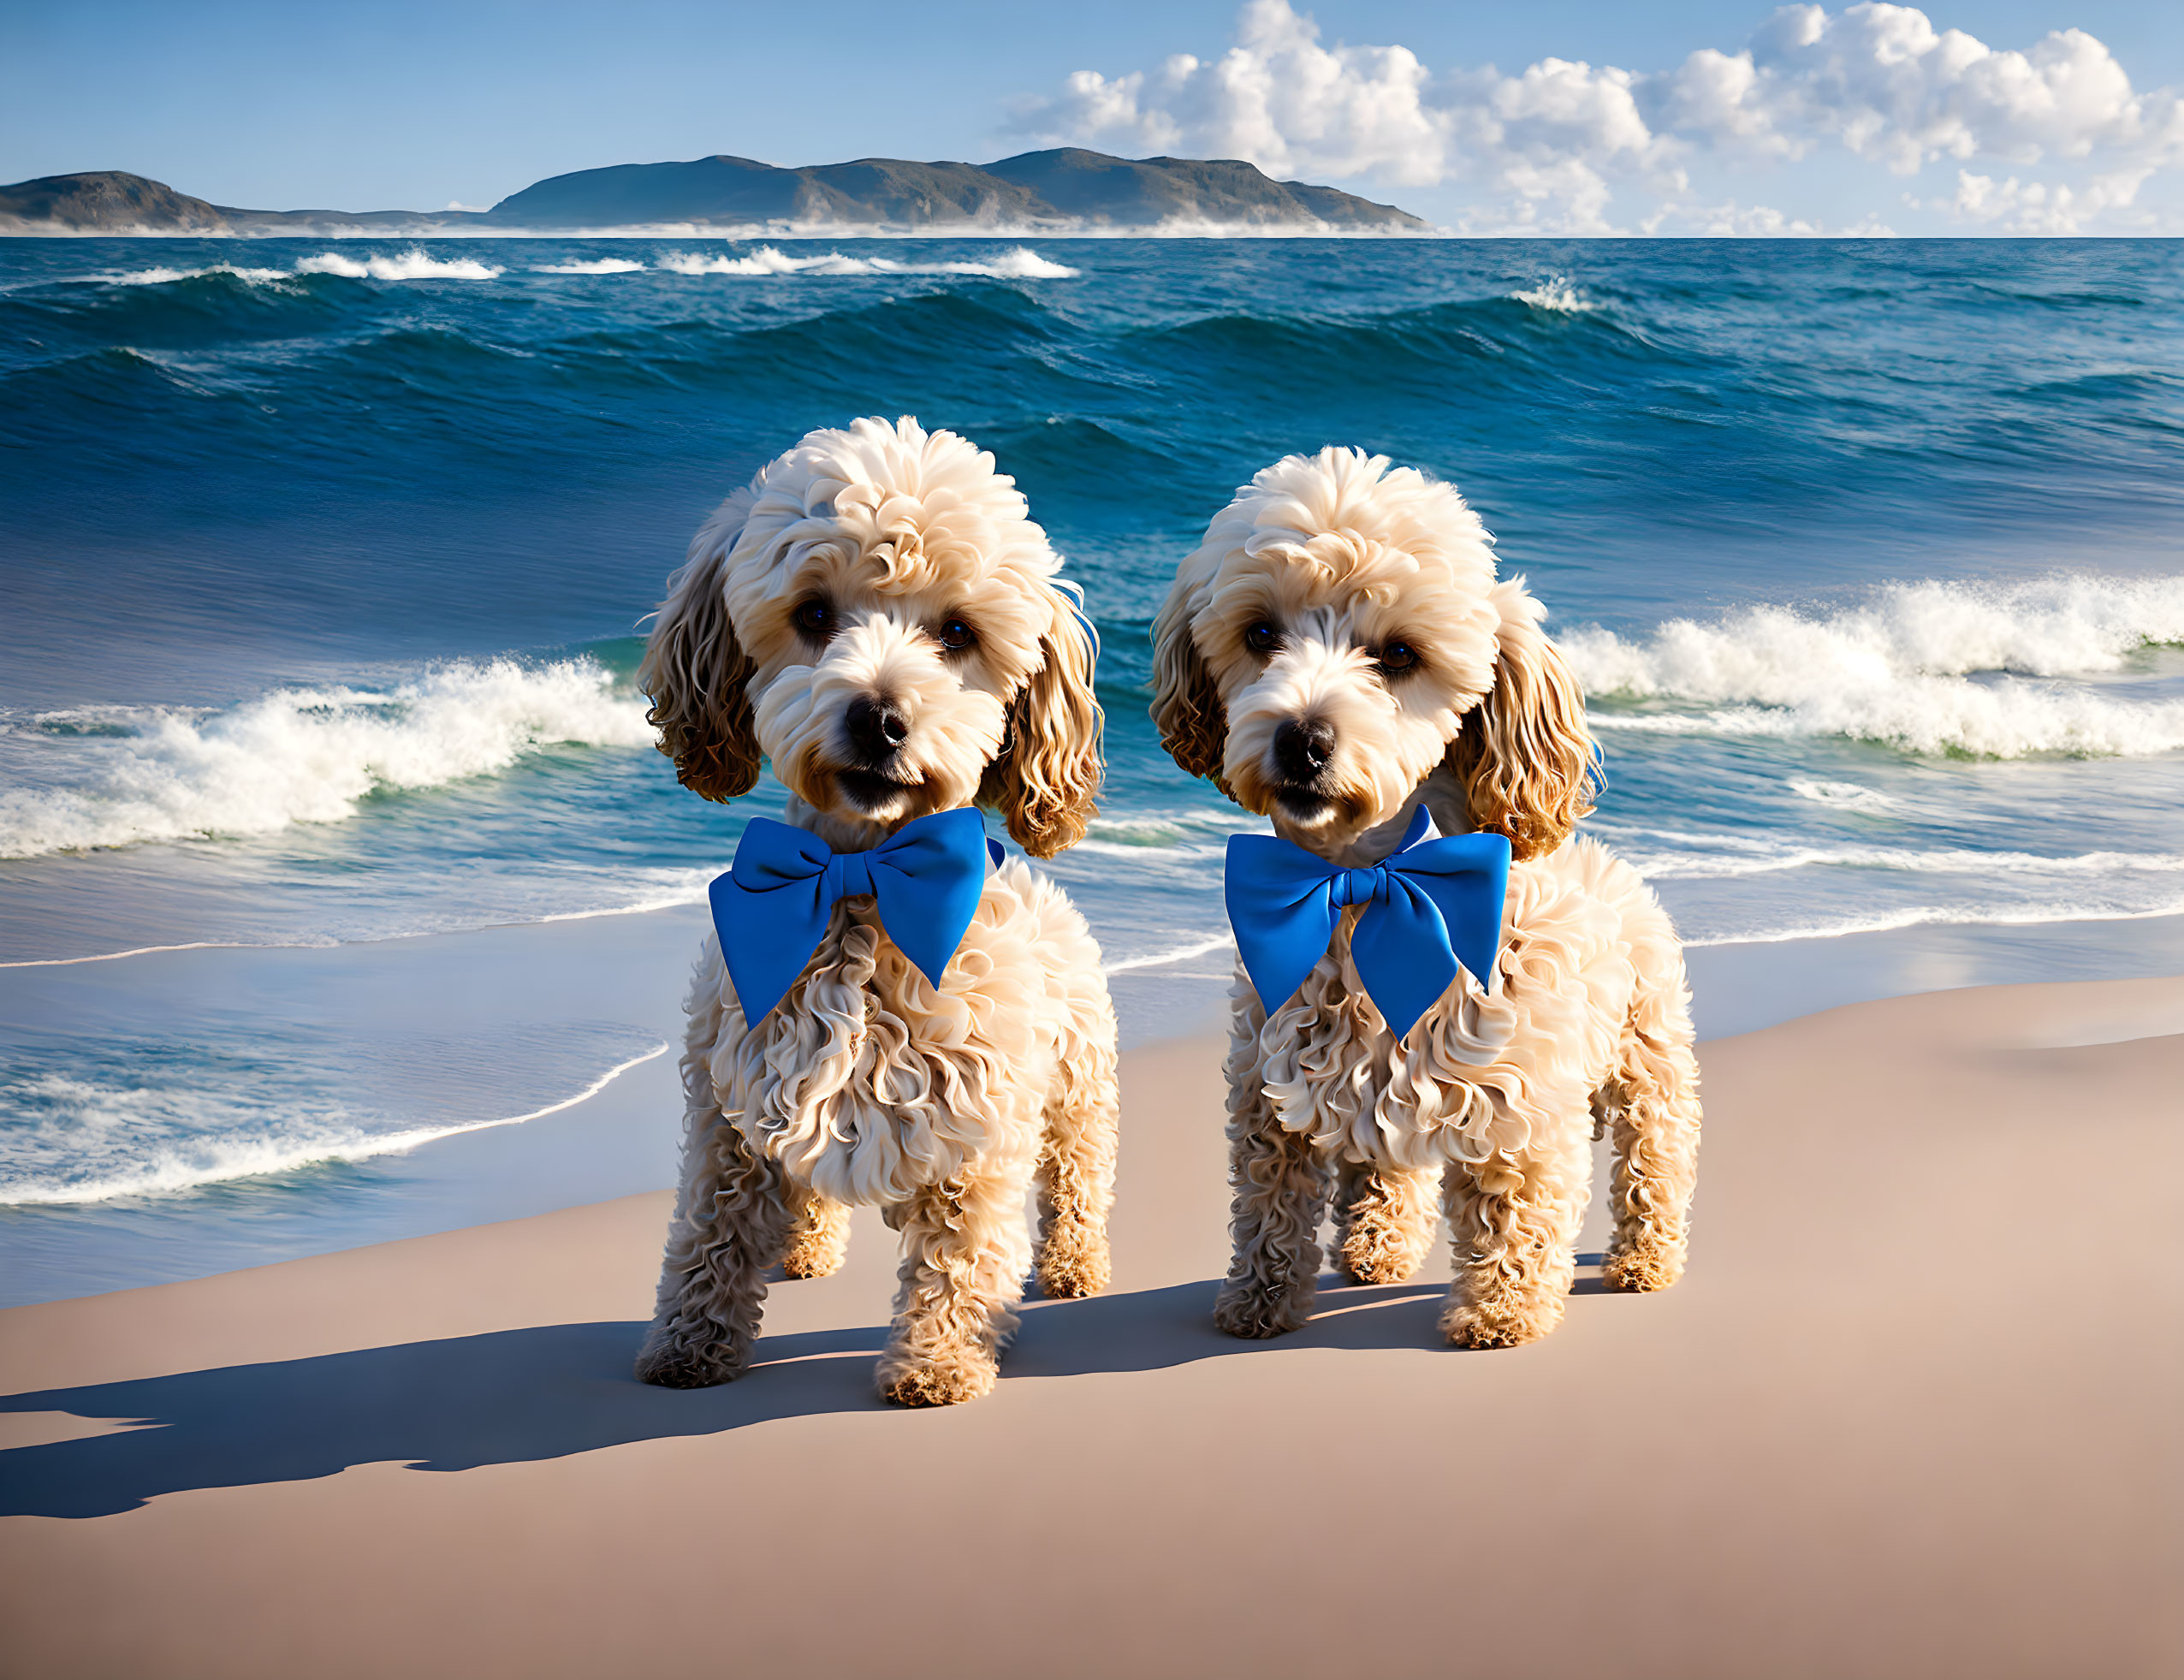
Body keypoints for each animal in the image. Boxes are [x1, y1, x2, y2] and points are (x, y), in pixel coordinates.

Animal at [628, 415, 1109, 1398]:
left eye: (958, 631)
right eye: (814, 614)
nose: (879, 718)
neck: (858, 879)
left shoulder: (977, 1129)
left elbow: (960, 1256)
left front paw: (937, 1364)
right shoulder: (730, 1110)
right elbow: (708, 1236)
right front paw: (687, 1345)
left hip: (1079, 1094)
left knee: (1080, 1184)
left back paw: (1077, 1267)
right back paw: (806, 1250)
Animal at [1153, 449, 1694, 1345]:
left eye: (1401, 654)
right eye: (1261, 634)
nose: (1302, 738)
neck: (1362, 883)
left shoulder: (1518, 1100)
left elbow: (1515, 1211)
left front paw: (1501, 1312)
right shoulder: (1270, 1092)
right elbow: (1270, 1207)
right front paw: (1257, 1301)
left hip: (1648, 1062)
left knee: (1656, 1159)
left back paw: (1647, 1259)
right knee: (1383, 1171)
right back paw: (1376, 1250)